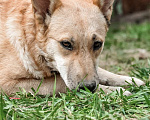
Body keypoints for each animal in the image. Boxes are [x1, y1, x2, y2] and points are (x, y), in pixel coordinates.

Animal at [0, 0, 145, 95]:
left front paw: (127, 79)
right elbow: (60, 82)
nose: (89, 87)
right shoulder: (7, 84)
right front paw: (112, 90)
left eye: (97, 44)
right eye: (66, 44)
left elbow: (100, 71)